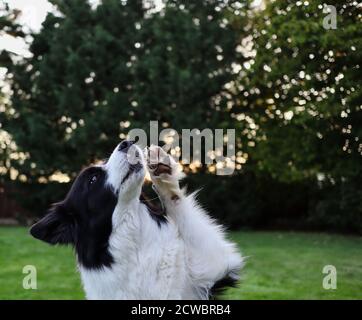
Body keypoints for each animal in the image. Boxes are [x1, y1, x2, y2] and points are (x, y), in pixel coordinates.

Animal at [29, 142, 242, 300]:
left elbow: (179, 208)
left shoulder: (211, 268)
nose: (127, 142)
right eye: (93, 179)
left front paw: (163, 173)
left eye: (105, 161)